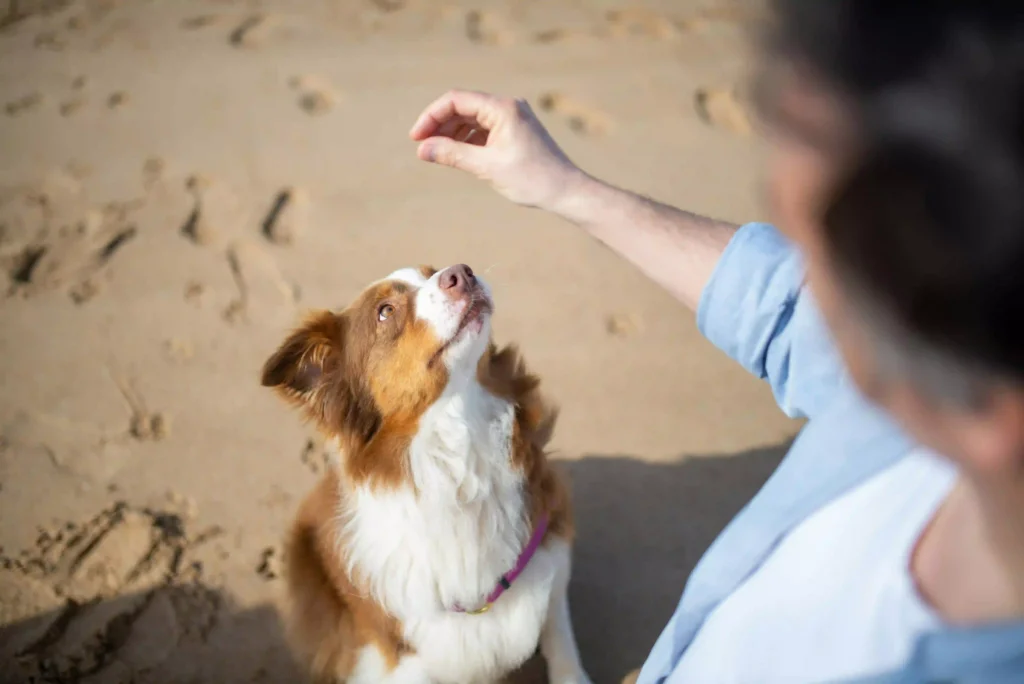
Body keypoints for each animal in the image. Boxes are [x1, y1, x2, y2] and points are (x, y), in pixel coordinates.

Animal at [262, 264, 593, 684]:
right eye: (385, 311)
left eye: (431, 271)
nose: (461, 273)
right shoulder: (405, 657)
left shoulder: (550, 546)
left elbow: (561, 640)